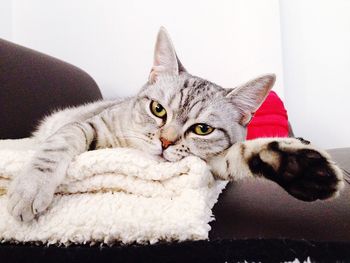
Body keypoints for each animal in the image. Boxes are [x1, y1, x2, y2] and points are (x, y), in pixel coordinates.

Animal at [6, 27, 344, 223]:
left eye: (202, 129)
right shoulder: (91, 125)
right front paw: (30, 187)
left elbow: (241, 155)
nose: (165, 142)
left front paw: (298, 166)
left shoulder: (211, 163)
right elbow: (58, 145)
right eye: (158, 110)